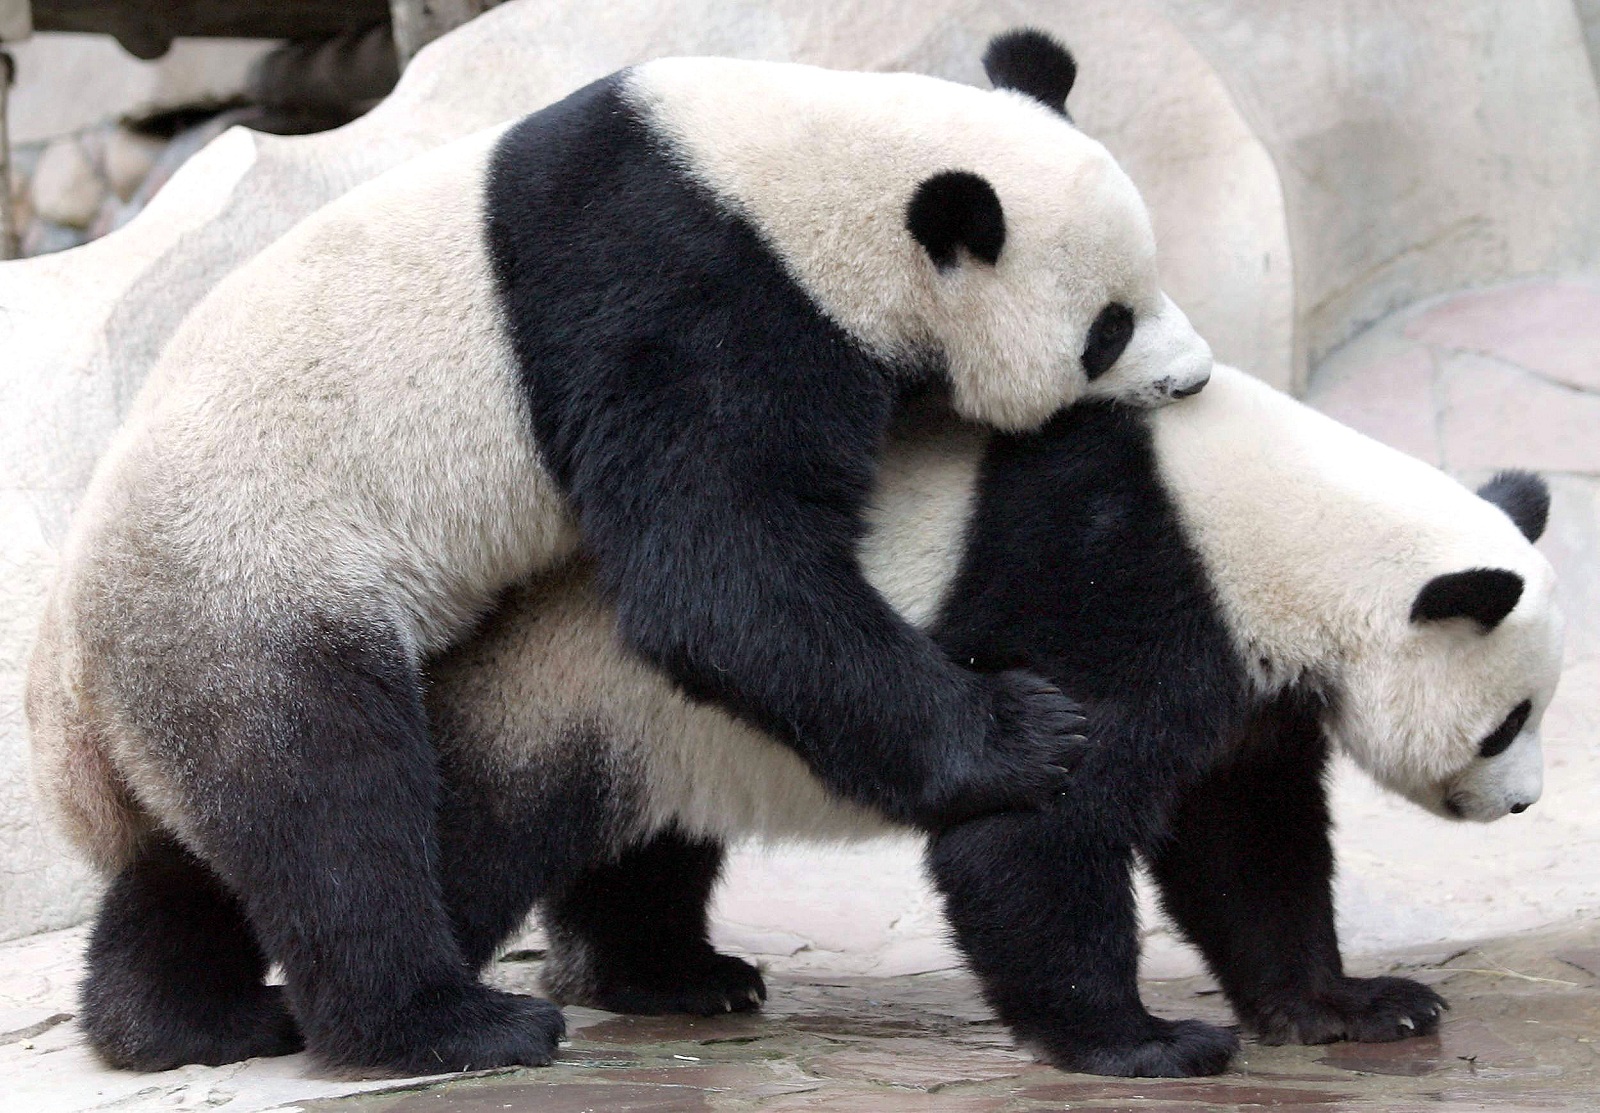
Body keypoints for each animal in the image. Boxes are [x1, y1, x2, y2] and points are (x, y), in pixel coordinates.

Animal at [28, 32, 1209, 1081]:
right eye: (1106, 328)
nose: (1192, 376)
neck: (803, 175)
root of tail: (69, 692)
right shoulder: (690, 295)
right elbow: (718, 570)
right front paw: (1025, 732)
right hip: (251, 582)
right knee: (333, 807)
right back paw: (443, 1026)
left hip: (181, 647)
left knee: (197, 850)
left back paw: (178, 1023)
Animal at [419, 367, 1555, 1081]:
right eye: (1509, 723)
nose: (1523, 804)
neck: (1284, 522)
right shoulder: (1118, 579)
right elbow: (1034, 829)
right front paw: (1142, 1042)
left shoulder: (1243, 680)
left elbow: (1247, 846)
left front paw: (1355, 1006)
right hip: (553, 673)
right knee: (473, 832)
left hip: (650, 710)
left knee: (645, 844)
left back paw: (670, 976)